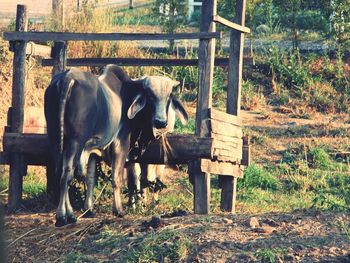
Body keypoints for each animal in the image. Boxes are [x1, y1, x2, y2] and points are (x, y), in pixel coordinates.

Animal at [44, 65, 187, 227]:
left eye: (169, 97)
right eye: (150, 96)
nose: (161, 122)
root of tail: (67, 77)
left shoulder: (92, 152)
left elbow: (90, 179)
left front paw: (89, 210)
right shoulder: (121, 143)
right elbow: (117, 178)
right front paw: (118, 210)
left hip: (55, 138)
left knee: (60, 173)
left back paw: (69, 215)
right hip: (75, 141)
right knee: (67, 174)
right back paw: (63, 216)